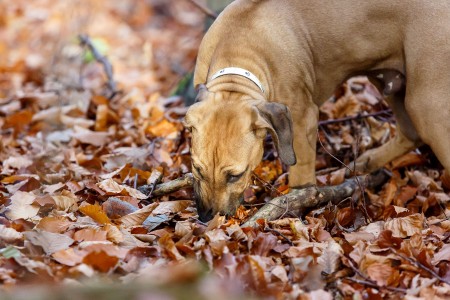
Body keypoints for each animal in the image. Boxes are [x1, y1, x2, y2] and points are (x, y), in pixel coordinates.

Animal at [184, 0, 450, 220]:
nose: (207, 217)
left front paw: (296, 204)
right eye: (197, 169)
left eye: (235, 175)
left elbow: (300, 175)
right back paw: (369, 161)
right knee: (410, 133)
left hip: (425, 103)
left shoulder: (303, 120)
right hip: (390, 82)